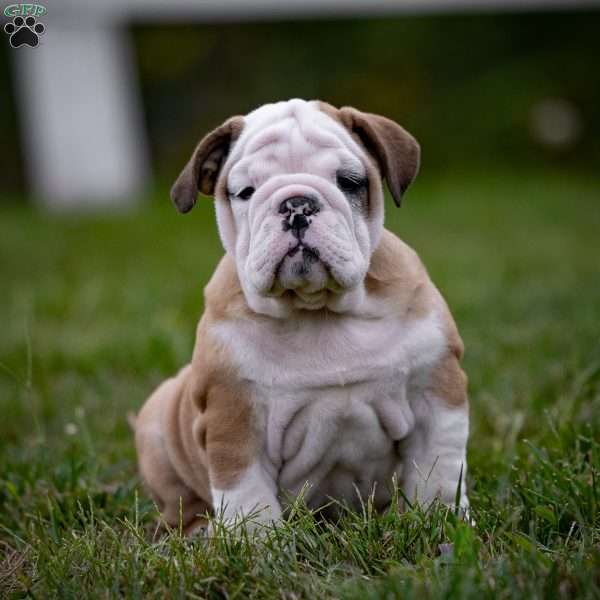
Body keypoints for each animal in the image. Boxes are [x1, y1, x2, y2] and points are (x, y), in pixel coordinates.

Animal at [134, 98, 472, 536]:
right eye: (245, 192)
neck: (317, 309)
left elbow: (438, 471)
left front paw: (441, 521)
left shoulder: (436, 392)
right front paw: (254, 542)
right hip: (159, 428)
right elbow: (247, 493)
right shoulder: (233, 418)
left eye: (349, 181)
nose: (296, 204)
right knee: (183, 506)